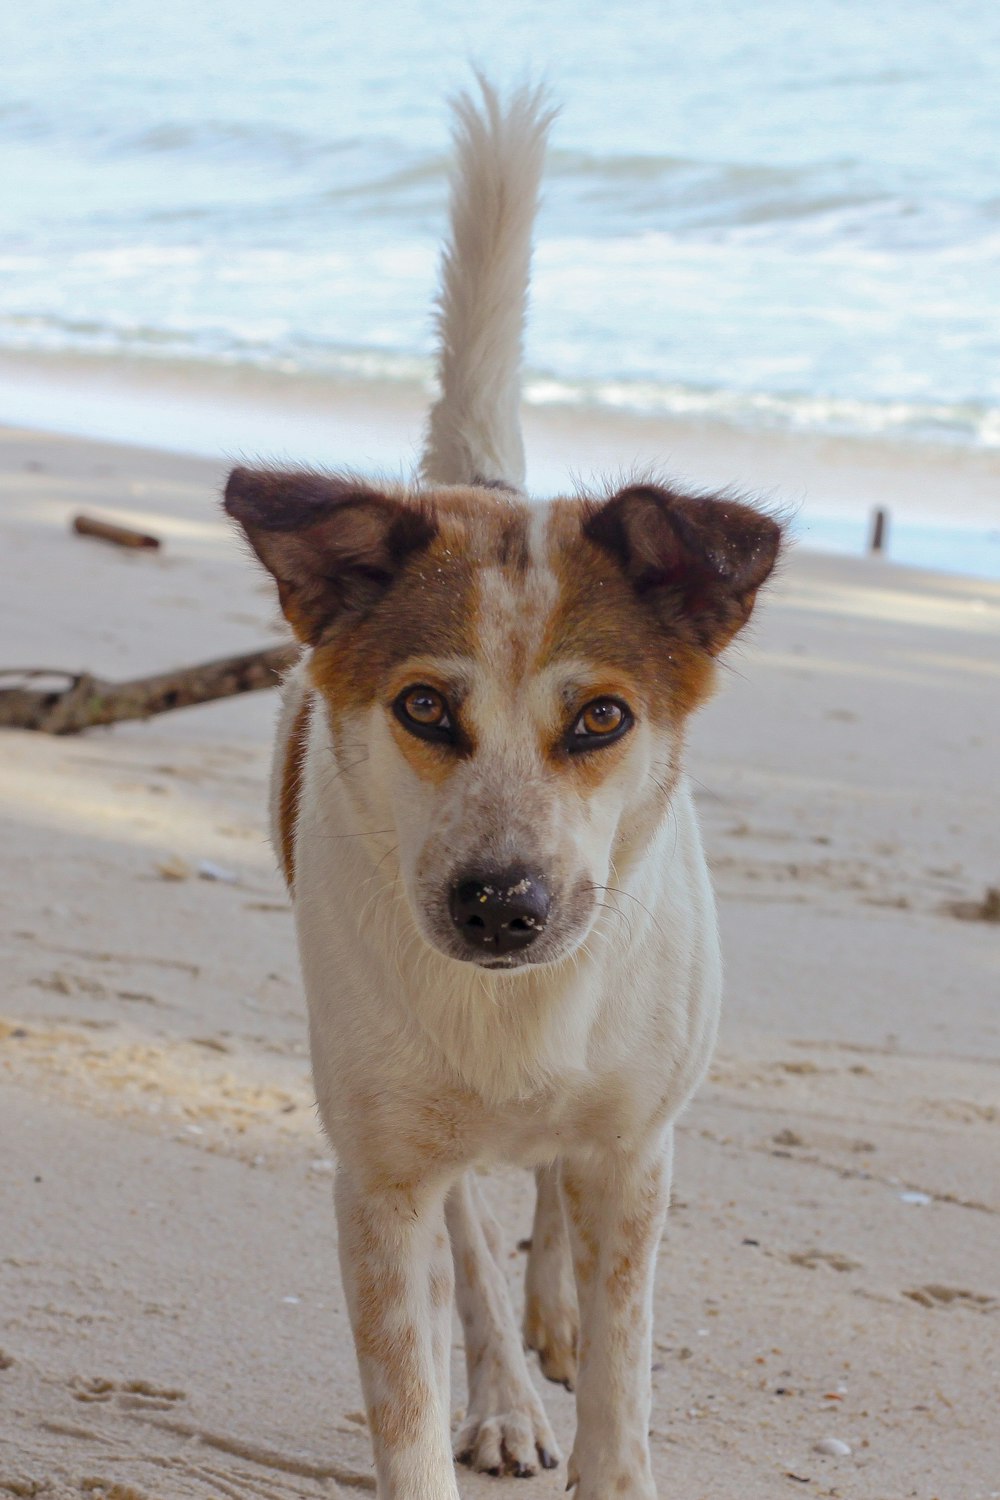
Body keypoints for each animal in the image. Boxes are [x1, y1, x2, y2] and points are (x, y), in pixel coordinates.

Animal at [224, 79, 779, 1500]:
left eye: (602, 718)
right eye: (424, 706)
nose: (500, 908)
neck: (517, 1010)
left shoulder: (637, 1150)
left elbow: (624, 1398)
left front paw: (586, 1355)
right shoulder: (377, 1177)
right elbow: (411, 1399)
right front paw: (484, 1405)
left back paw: (556, 1322)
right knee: (477, 1235)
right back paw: (508, 1390)